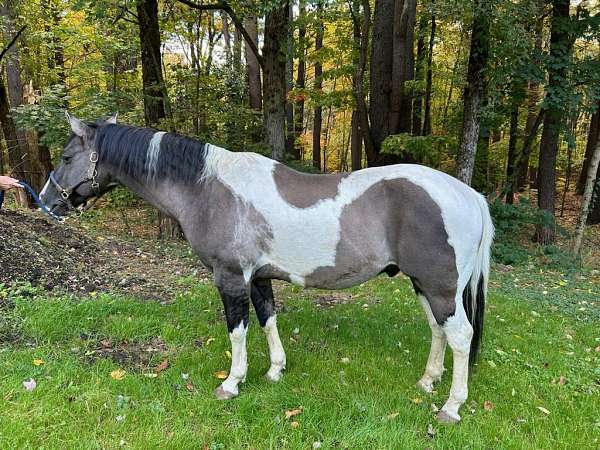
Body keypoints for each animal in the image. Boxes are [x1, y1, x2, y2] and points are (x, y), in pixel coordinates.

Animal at [41, 114, 492, 424]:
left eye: (66, 156)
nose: (45, 202)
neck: (207, 188)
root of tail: (469, 195)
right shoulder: (258, 278)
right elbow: (268, 320)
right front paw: (275, 371)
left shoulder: (229, 277)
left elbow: (237, 331)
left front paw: (231, 383)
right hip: (424, 286)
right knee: (438, 330)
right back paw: (427, 382)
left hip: (440, 288)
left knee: (460, 336)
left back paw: (451, 407)